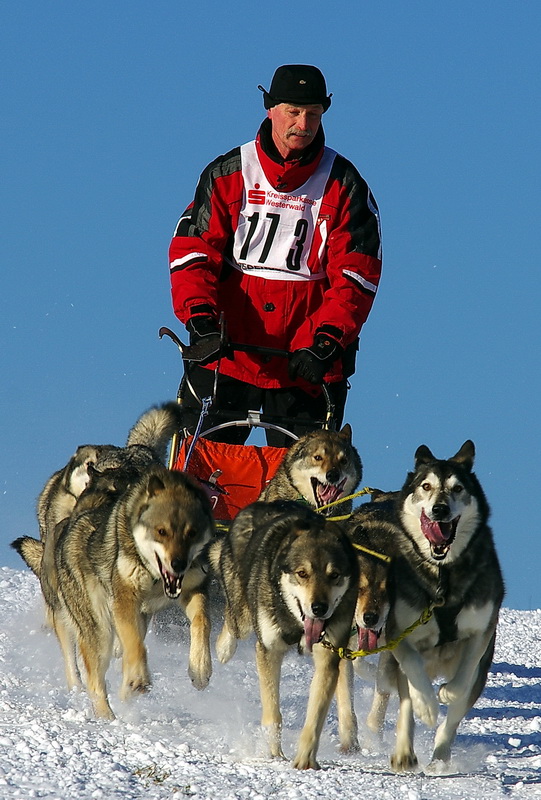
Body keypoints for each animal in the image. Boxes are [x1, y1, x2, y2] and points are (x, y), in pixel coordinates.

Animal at [11, 462, 213, 720]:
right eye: (161, 531)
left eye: (192, 533)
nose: (178, 564)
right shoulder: (124, 598)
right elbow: (136, 646)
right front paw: (137, 680)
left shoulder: (193, 588)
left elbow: (202, 622)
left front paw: (200, 669)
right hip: (97, 630)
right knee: (90, 675)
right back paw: (105, 715)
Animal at [209, 500, 356, 768]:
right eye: (302, 573)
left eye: (334, 575)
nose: (319, 608)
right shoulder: (270, 650)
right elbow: (273, 714)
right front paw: (274, 753)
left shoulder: (328, 657)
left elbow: (315, 717)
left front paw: (305, 759)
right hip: (242, 615)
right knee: (233, 617)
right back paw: (222, 649)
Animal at [364, 440, 504, 772]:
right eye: (426, 486)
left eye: (457, 488)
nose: (440, 509)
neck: (443, 577)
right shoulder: (400, 634)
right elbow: (414, 676)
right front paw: (427, 705)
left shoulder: (481, 632)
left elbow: (462, 682)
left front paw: (446, 693)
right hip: (392, 664)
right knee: (404, 699)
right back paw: (404, 749)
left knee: (456, 712)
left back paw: (440, 755)